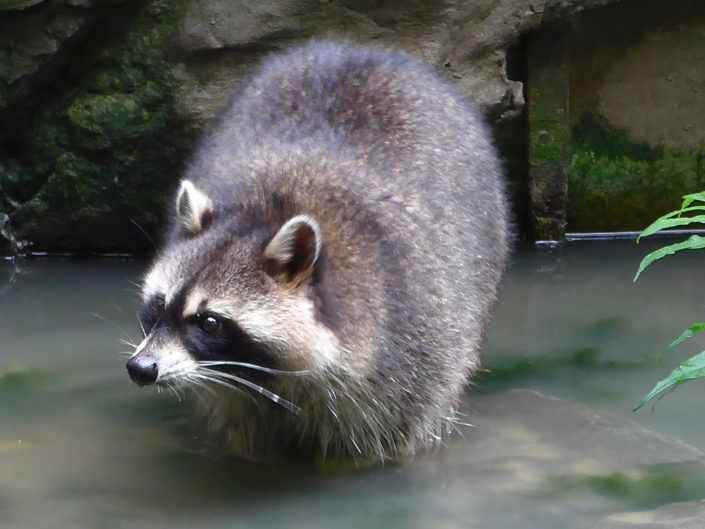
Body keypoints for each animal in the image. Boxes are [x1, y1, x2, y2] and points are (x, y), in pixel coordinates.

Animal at [126, 41, 509, 462]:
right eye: (159, 304)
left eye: (209, 322)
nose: (141, 368)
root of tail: (360, 50)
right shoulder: (231, 393)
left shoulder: (407, 353)